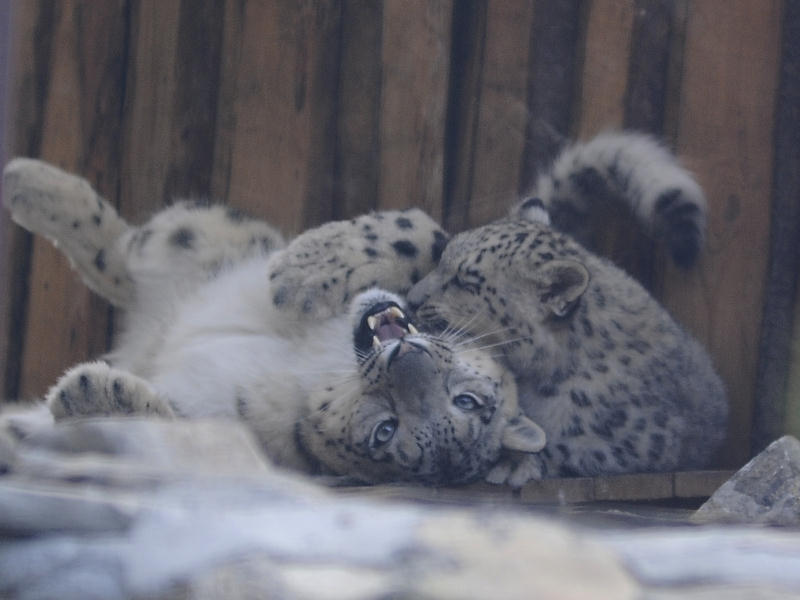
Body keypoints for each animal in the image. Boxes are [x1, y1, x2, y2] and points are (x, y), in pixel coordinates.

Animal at [1, 158, 544, 482]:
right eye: (467, 399)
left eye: (385, 432)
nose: (406, 355)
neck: (313, 355)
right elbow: (427, 233)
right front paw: (303, 271)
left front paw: (92, 394)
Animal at [410, 132, 728, 488]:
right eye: (443, 257)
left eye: (467, 281)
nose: (411, 298)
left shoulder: (633, 444)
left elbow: (569, 449)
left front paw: (511, 461)